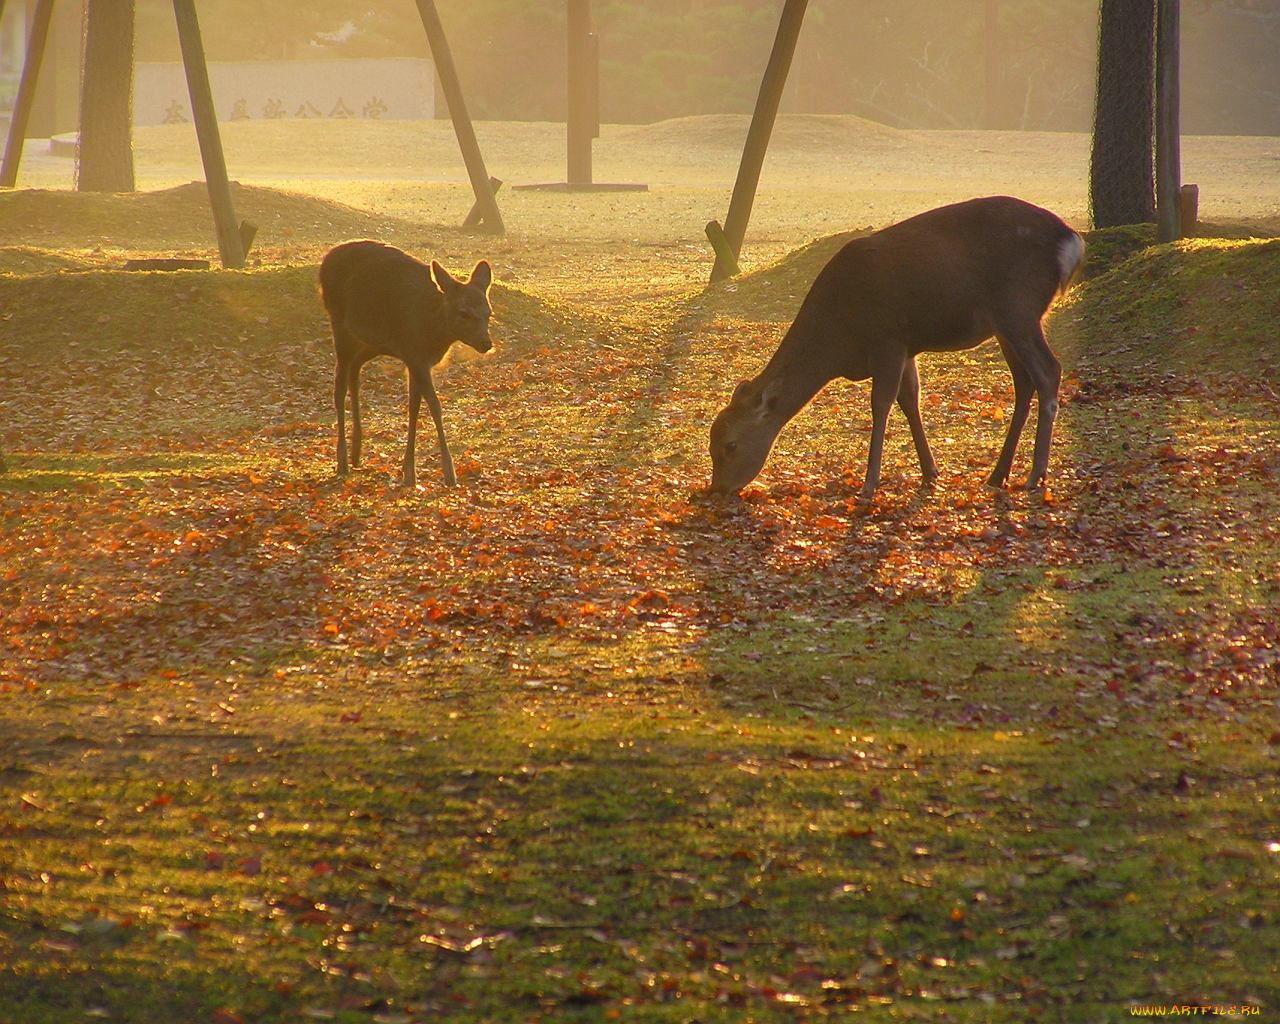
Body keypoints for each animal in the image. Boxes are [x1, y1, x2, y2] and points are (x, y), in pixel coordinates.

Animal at [320, 240, 494, 488]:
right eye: (463, 312)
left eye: (488, 312)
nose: (485, 343)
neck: (434, 332)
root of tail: (325, 260)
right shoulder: (416, 356)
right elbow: (434, 406)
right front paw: (449, 473)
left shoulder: (415, 359)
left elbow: (414, 407)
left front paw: (408, 471)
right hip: (339, 325)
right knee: (339, 385)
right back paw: (343, 460)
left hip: (372, 342)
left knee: (355, 369)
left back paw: (356, 452)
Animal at [706, 195, 1085, 499]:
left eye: (730, 445)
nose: (718, 488)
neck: (839, 340)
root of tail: (1071, 241)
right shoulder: (906, 346)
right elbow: (910, 400)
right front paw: (930, 472)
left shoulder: (886, 339)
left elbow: (881, 404)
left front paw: (868, 484)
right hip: (1007, 324)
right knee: (1024, 382)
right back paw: (997, 474)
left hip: (1018, 308)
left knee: (1048, 371)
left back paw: (1035, 475)